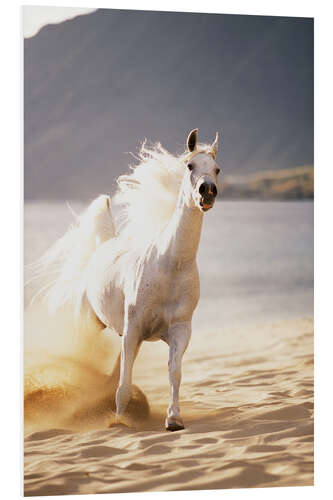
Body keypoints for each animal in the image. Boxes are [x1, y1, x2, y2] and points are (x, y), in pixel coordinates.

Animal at [33, 129, 220, 430]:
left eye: (217, 169)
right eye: (190, 166)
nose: (208, 192)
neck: (169, 266)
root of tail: (104, 246)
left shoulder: (179, 330)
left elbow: (174, 373)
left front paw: (174, 419)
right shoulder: (134, 328)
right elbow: (124, 381)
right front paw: (120, 421)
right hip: (94, 324)